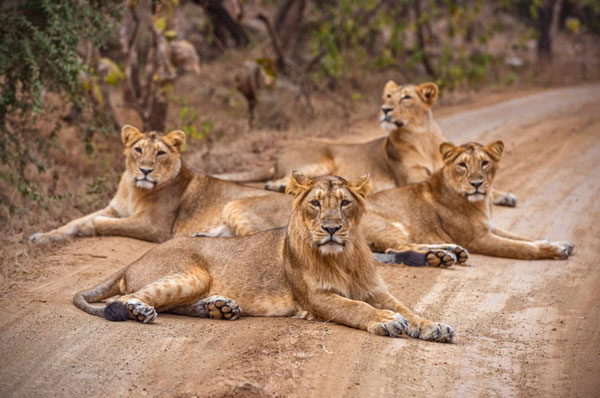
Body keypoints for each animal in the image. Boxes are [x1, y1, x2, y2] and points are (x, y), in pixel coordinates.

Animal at [29, 124, 270, 244]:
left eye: (160, 153)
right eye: (138, 149)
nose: (145, 170)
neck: (133, 190)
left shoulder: (153, 225)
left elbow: (104, 223)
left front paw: (88, 227)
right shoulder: (115, 208)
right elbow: (73, 221)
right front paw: (41, 237)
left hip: (235, 206)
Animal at [72, 174, 454, 342]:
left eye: (345, 203)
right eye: (315, 203)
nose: (331, 228)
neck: (343, 256)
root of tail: (132, 261)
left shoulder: (378, 291)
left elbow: (408, 309)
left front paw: (432, 326)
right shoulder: (317, 299)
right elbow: (356, 308)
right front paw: (386, 321)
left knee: (171, 305)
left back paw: (220, 308)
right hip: (190, 274)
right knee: (127, 298)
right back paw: (142, 311)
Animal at [216, 83, 516, 210]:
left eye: (405, 97)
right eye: (388, 96)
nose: (384, 109)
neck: (421, 137)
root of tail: (278, 154)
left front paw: (504, 195)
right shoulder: (412, 178)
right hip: (320, 161)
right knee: (283, 181)